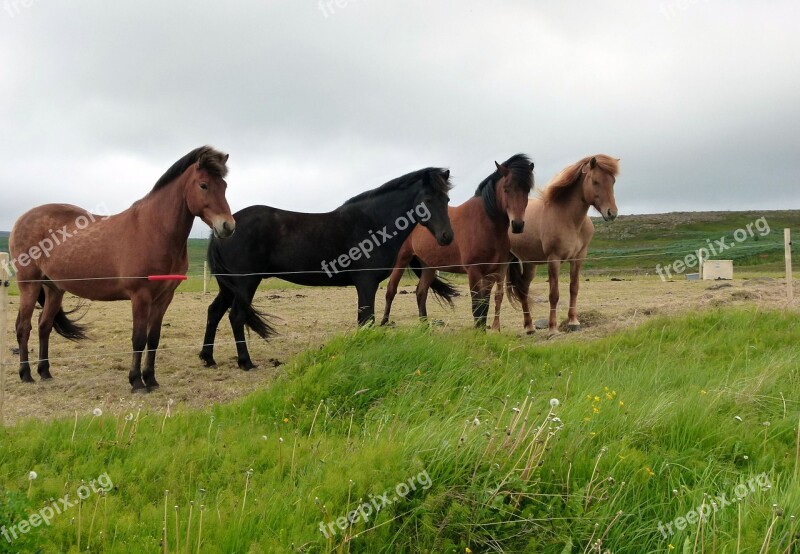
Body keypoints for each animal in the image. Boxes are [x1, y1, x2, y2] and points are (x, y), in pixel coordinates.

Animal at [9, 144, 234, 390]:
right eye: (203, 185)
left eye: (224, 186)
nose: (228, 226)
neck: (153, 229)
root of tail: (21, 219)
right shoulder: (140, 296)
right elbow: (139, 338)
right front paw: (136, 382)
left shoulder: (164, 298)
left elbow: (153, 338)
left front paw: (151, 379)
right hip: (29, 285)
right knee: (23, 327)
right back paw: (26, 374)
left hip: (54, 289)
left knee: (44, 326)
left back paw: (45, 372)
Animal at [198, 166, 456, 368]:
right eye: (427, 200)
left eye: (447, 200)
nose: (447, 237)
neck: (372, 222)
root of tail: (224, 228)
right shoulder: (366, 283)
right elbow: (367, 320)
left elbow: (364, 320)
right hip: (245, 284)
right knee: (236, 316)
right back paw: (245, 362)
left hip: (228, 287)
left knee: (214, 312)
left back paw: (208, 358)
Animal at [380, 154, 536, 328]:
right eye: (506, 189)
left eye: (527, 190)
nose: (517, 225)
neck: (484, 223)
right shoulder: (474, 271)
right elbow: (477, 306)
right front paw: (478, 330)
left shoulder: (492, 272)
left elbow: (485, 305)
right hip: (402, 260)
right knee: (391, 290)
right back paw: (384, 323)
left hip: (428, 265)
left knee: (421, 292)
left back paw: (425, 327)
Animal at [490, 154, 620, 332]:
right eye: (595, 181)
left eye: (613, 181)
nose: (611, 213)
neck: (569, 219)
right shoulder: (554, 259)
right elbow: (554, 294)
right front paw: (553, 328)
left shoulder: (578, 258)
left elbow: (574, 288)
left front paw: (573, 321)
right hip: (504, 262)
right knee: (499, 294)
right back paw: (495, 327)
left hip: (530, 263)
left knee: (523, 289)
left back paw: (529, 326)